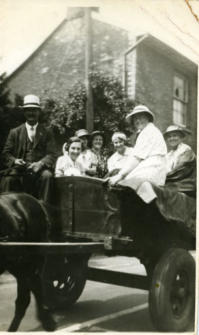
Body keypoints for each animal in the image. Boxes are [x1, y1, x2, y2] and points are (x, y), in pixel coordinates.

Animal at [0, 193, 56, 332]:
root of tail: (37, 202)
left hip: (30, 261)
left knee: (29, 292)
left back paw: (47, 322)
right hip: (18, 266)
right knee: (30, 290)